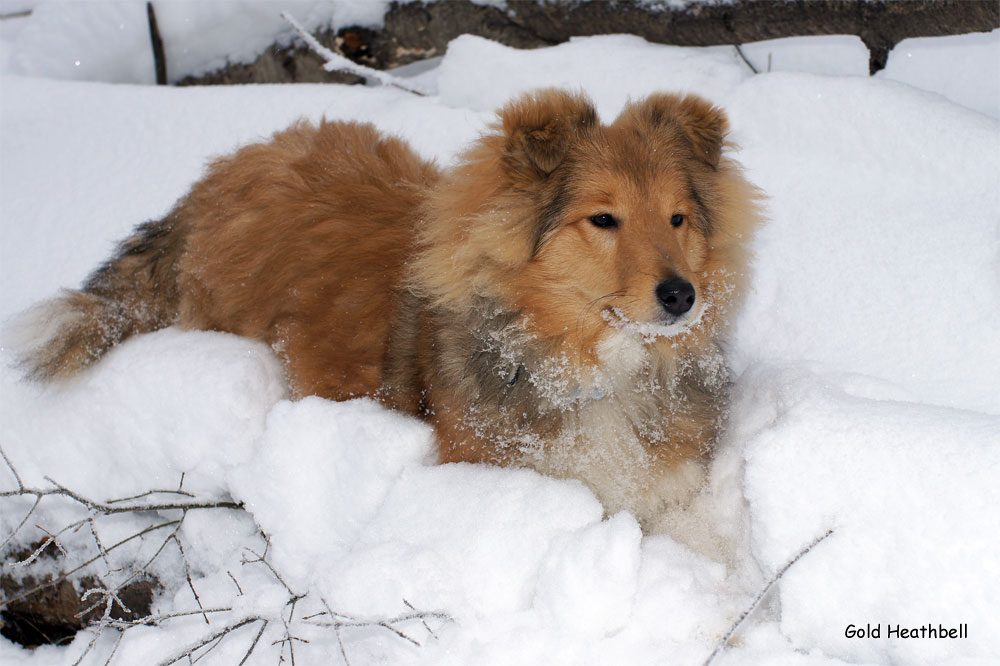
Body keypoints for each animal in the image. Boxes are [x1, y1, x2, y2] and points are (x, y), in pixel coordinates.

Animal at [15, 88, 760, 532]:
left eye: (678, 218)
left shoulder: (671, 493)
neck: (598, 373)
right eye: (603, 219)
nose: (681, 296)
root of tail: (221, 173)